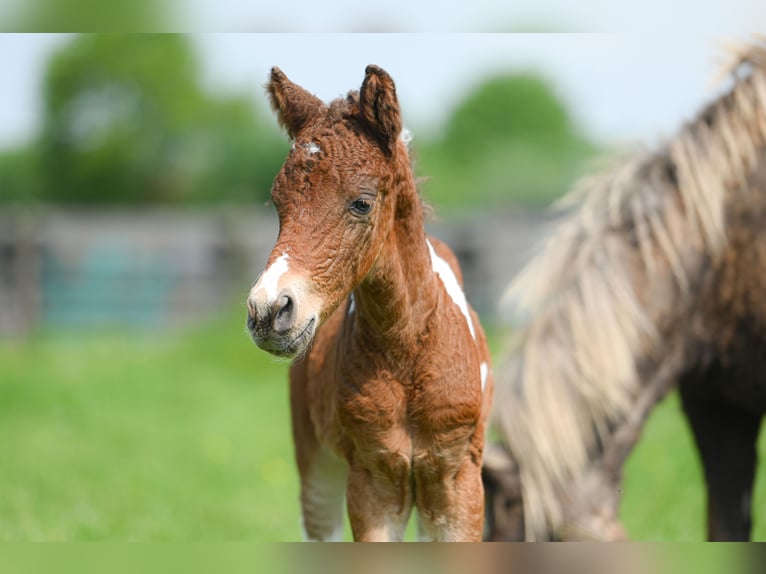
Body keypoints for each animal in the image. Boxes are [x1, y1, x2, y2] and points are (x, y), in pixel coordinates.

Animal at [245, 65, 493, 541]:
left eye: (362, 203)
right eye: (278, 203)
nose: (267, 311)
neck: (409, 345)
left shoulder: (458, 483)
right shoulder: (373, 479)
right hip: (317, 470)